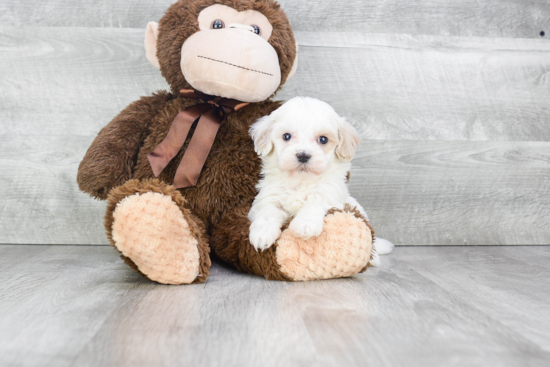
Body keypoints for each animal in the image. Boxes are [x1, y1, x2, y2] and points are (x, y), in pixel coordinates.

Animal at [248, 97, 394, 264]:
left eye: (323, 139)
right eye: (286, 136)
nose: (303, 155)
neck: (301, 181)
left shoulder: (330, 195)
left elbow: (315, 203)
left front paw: (304, 225)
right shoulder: (268, 198)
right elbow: (267, 211)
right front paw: (262, 234)